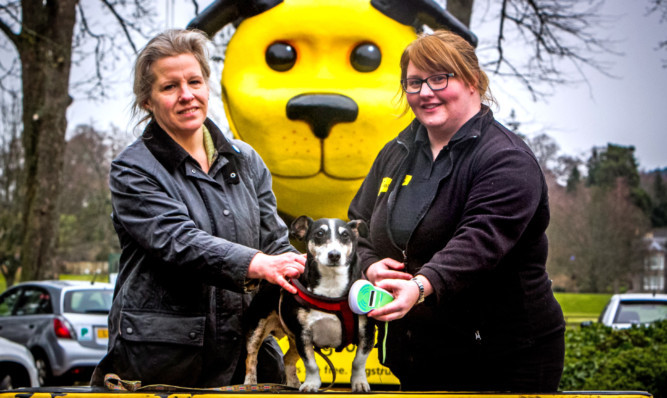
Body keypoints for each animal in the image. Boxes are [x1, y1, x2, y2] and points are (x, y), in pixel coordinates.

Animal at [244, 216, 376, 390]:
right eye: (319, 233)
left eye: (345, 235)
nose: (334, 255)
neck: (331, 286)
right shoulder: (303, 334)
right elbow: (311, 364)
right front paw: (311, 384)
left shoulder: (367, 332)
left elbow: (359, 362)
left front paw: (360, 383)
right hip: (257, 328)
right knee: (251, 357)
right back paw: (249, 383)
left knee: (287, 358)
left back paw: (293, 384)